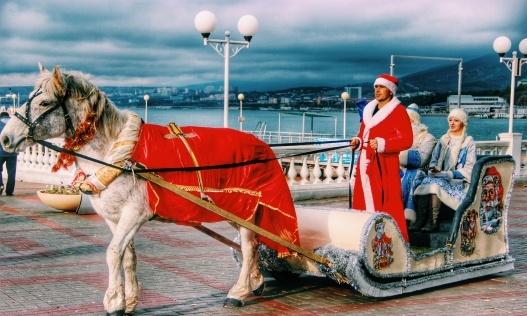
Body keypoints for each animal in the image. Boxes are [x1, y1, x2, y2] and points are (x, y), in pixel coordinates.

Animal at [0, 65, 296, 314]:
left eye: (44, 102)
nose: (5, 138)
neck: (117, 151)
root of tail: (263, 145)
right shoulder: (115, 218)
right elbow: (128, 256)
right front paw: (129, 300)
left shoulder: (135, 213)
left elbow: (113, 254)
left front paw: (114, 302)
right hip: (239, 211)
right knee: (253, 244)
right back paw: (255, 281)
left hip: (247, 209)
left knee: (248, 245)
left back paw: (238, 291)